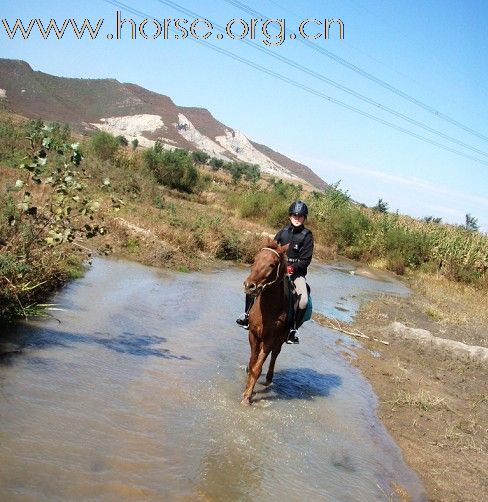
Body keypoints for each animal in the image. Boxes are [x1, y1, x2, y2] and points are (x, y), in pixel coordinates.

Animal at [240, 237, 290, 406]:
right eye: (255, 259)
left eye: (272, 264)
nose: (249, 285)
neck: (268, 310)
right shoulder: (253, 335)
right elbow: (252, 364)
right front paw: (248, 388)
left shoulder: (270, 339)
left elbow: (257, 368)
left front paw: (247, 396)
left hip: (280, 340)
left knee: (274, 355)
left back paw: (269, 379)